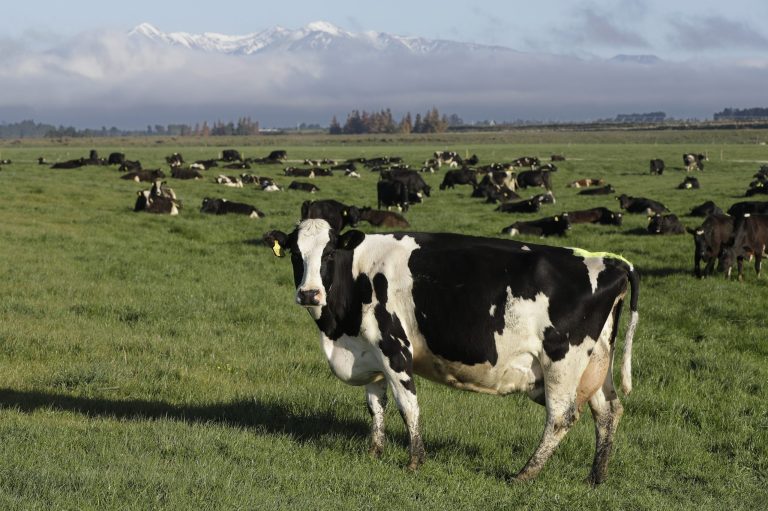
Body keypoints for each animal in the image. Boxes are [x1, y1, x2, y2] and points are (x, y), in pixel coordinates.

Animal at [263, 219, 639, 484]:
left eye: (328, 254)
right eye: (296, 255)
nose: (309, 294)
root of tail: (612, 262)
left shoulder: (394, 347)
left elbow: (407, 405)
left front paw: (415, 461)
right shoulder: (369, 351)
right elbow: (375, 405)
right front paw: (374, 452)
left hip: (562, 360)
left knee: (561, 416)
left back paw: (525, 474)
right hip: (595, 363)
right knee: (608, 412)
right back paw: (595, 477)